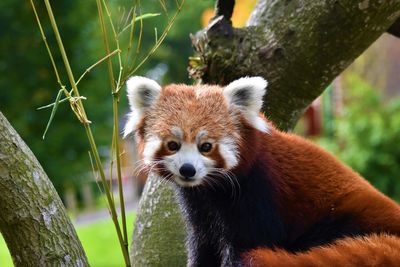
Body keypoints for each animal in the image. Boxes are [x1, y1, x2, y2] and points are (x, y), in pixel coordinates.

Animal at [125, 76, 400, 266]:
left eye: (206, 146)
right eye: (173, 145)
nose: (188, 170)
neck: (211, 191)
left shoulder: (258, 194)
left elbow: (247, 243)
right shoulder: (199, 210)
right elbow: (202, 246)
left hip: (345, 218)